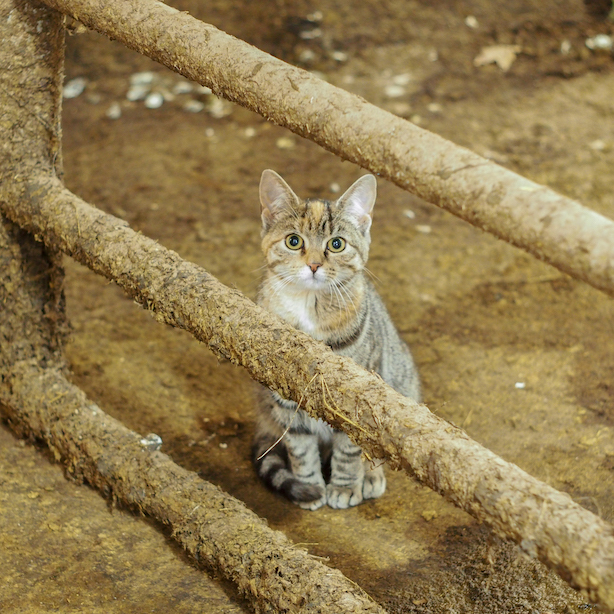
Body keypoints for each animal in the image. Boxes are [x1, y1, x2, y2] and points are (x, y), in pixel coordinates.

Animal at [253, 171, 422, 512]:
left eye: (336, 244)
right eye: (293, 241)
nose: (314, 265)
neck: (310, 306)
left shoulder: (357, 398)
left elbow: (350, 450)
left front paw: (344, 486)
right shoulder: (284, 397)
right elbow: (300, 449)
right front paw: (310, 485)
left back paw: (369, 476)